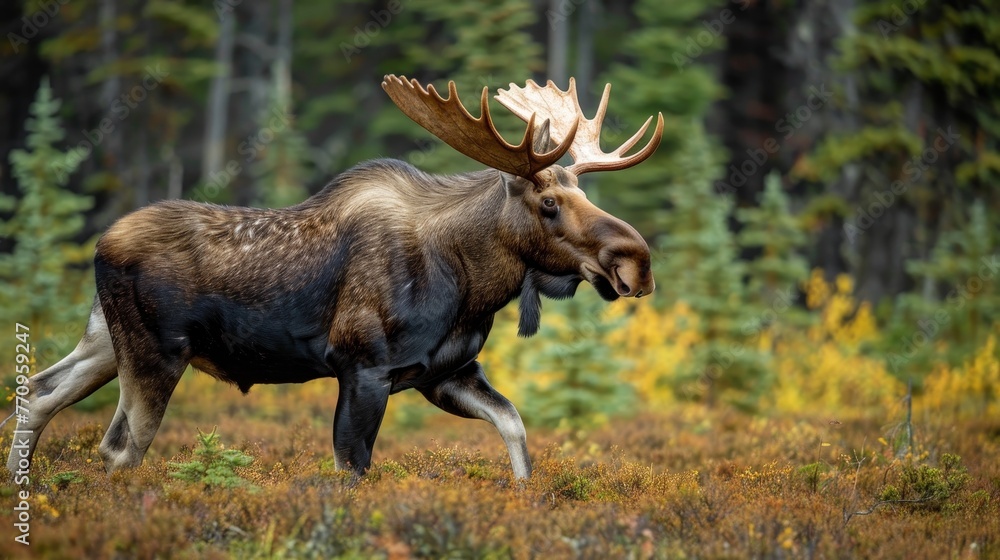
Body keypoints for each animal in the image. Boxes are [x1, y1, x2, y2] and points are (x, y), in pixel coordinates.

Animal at [9, 74, 664, 480]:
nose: (637, 260)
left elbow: (516, 429)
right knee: (120, 446)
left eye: (582, 193)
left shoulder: (445, 373)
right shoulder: (362, 367)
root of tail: (100, 244)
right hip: (155, 352)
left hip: (104, 341)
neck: (472, 285)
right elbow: (353, 467)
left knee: (38, 394)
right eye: (549, 202)